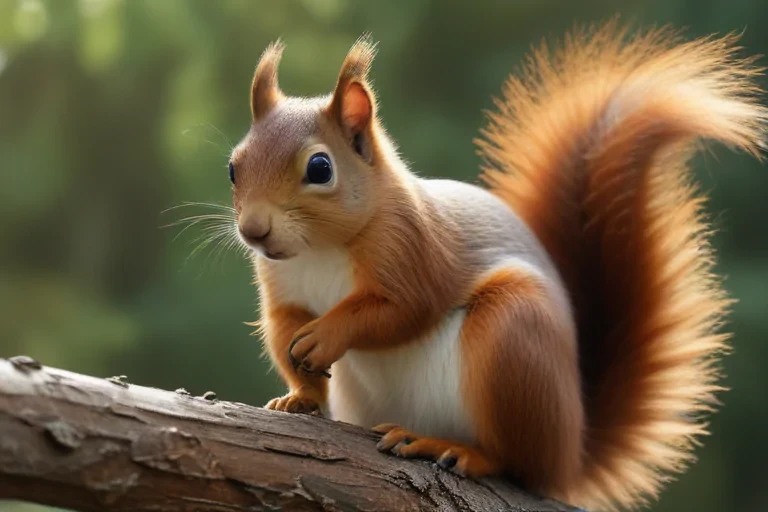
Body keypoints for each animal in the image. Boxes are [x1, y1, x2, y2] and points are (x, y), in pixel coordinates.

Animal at [226, 23, 766, 511]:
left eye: (320, 169)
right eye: (234, 166)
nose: (253, 231)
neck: (319, 250)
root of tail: (569, 456)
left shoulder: (413, 250)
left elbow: (400, 311)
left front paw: (326, 335)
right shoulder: (282, 289)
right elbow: (283, 329)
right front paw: (298, 397)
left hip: (515, 337)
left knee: (514, 460)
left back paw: (450, 447)